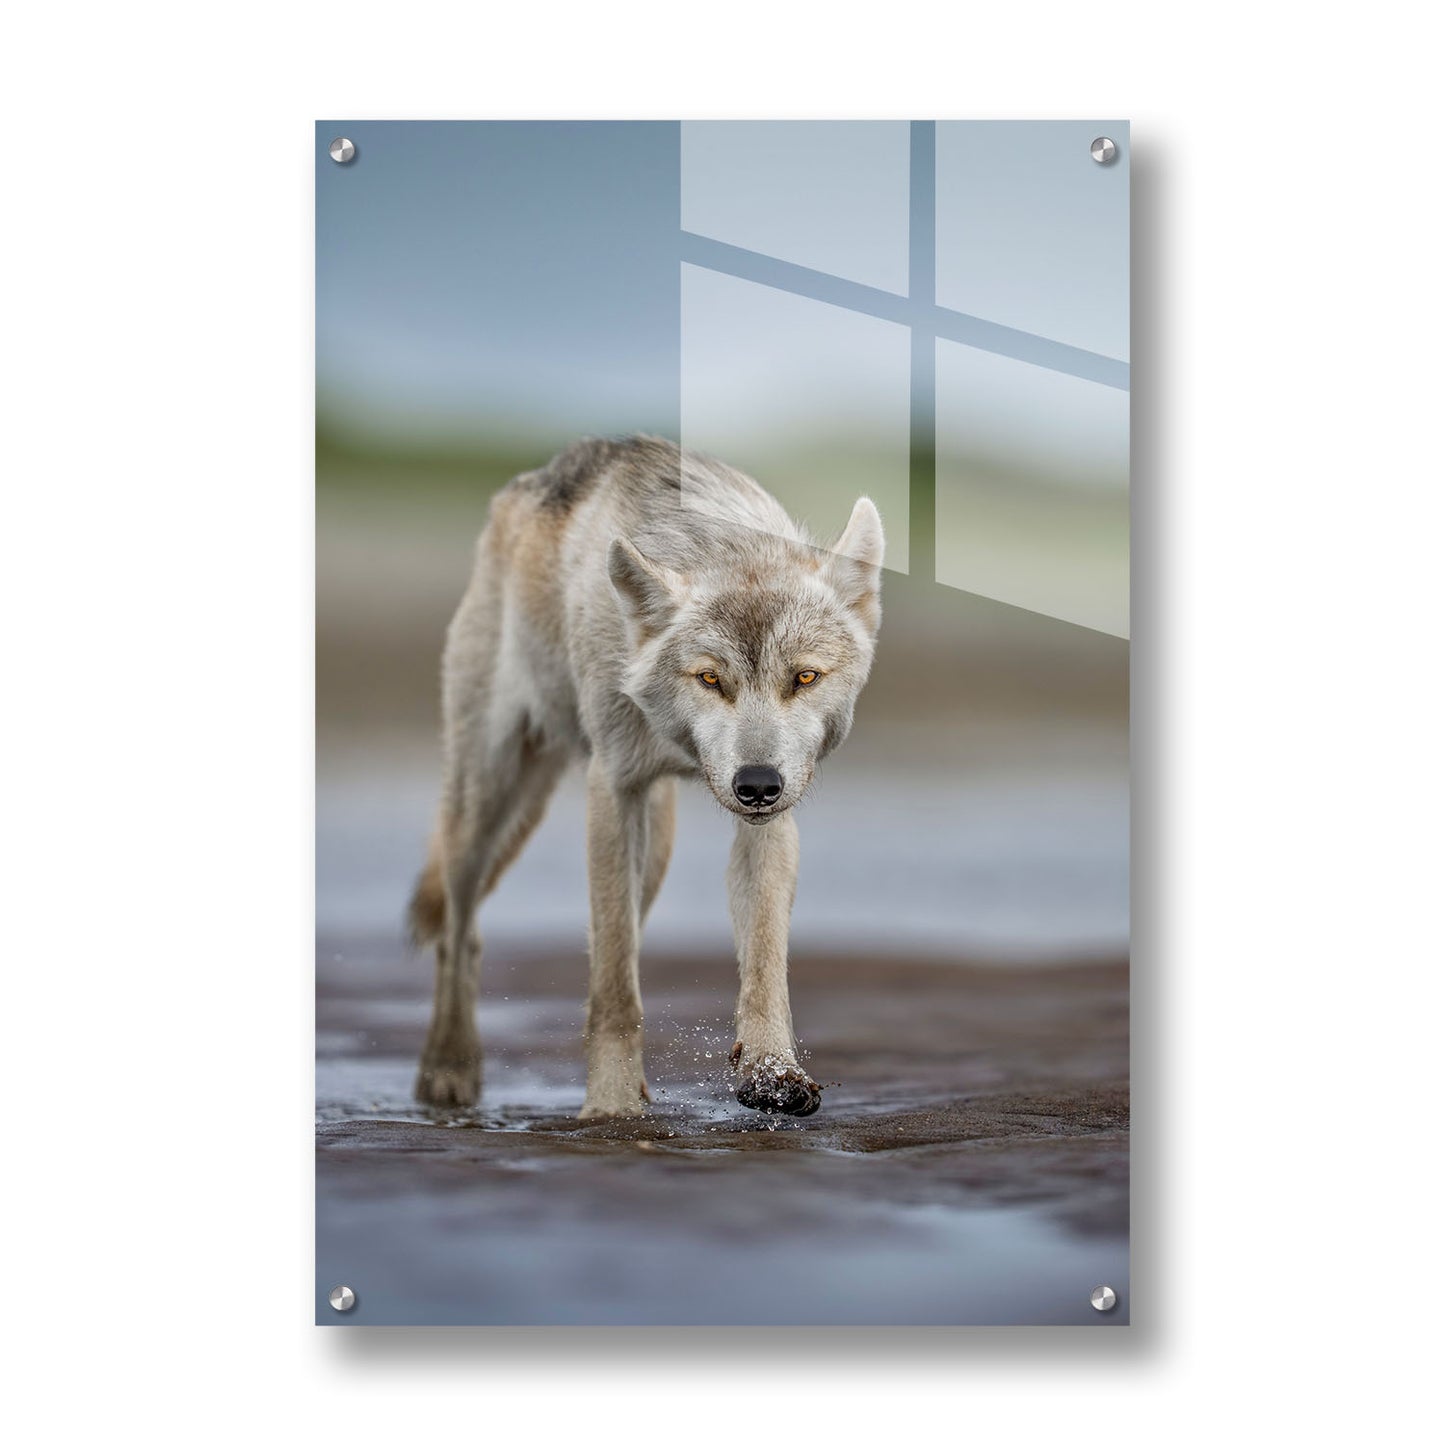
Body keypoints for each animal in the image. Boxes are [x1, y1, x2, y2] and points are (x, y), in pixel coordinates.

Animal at [407, 436, 884, 1118]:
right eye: (710, 678)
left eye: (805, 677)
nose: (756, 784)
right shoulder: (612, 789)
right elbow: (613, 990)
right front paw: (610, 1110)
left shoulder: (770, 821)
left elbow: (764, 962)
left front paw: (771, 1073)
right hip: (485, 804)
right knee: (460, 932)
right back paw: (448, 1071)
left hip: (654, 847)